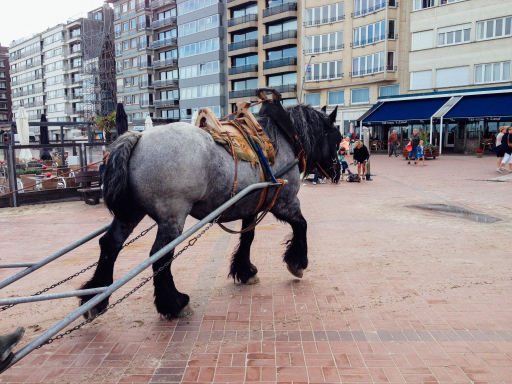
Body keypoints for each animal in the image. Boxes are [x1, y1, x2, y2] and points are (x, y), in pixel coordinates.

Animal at [80, 103, 340, 320]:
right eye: (336, 139)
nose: (336, 172)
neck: (282, 139)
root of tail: (139, 136)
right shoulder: (285, 201)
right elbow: (301, 225)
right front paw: (297, 262)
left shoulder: (251, 205)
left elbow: (248, 237)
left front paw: (245, 270)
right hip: (172, 217)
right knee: (160, 256)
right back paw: (174, 303)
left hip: (130, 213)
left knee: (110, 244)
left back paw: (94, 298)